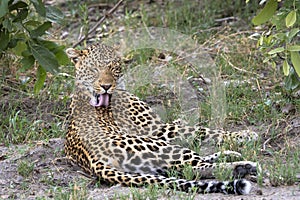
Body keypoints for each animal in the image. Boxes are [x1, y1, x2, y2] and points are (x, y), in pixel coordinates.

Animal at [65, 43, 258, 195]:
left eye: (114, 68)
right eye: (94, 70)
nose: (106, 86)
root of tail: (95, 161)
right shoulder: (157, 130)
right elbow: (202, 130)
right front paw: (244, 134)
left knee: (188, 168)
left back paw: (232, 157)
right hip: (157, 144)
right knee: (194, 166)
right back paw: (242, 166)